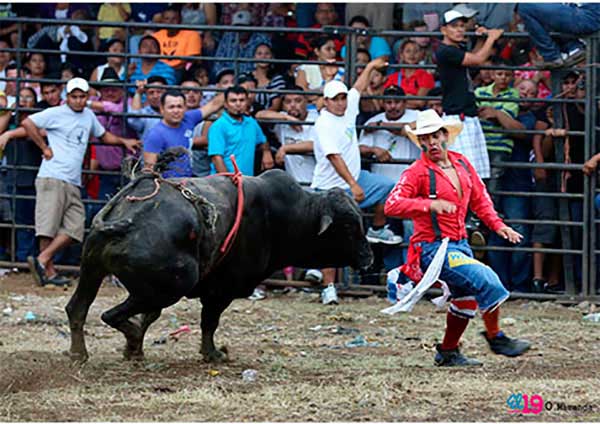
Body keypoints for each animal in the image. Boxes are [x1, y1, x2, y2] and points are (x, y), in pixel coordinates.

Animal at [67, 169, 376, 362]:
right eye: (349, 226)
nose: (369, 257)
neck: (288, 214)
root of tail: (128, 217)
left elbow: (151, 317)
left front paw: (134, 350)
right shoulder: (221, 290)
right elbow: (209, 322)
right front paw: (212, 354)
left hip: (93, 268)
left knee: (78, 309)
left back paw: (80, 353)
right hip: (172, 284)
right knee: (110, 314)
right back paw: (126, 338)